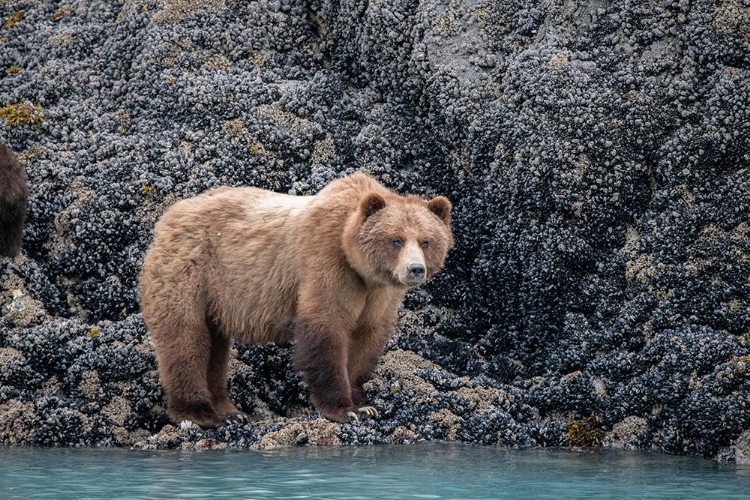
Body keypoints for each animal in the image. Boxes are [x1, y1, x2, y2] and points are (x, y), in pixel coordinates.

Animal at [139, 173, 452, 426]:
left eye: (426, 241)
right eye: (396, 240)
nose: (415, 269)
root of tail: (167, 217)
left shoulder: (378, 295)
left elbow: (367, 339)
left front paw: (363, 403)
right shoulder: (327, 263)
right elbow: (326, 327)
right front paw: (345, 409)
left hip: (215, 298)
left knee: (215, 346)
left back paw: (230, 412)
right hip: (189, 270)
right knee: (186, 339)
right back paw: (200, 413)